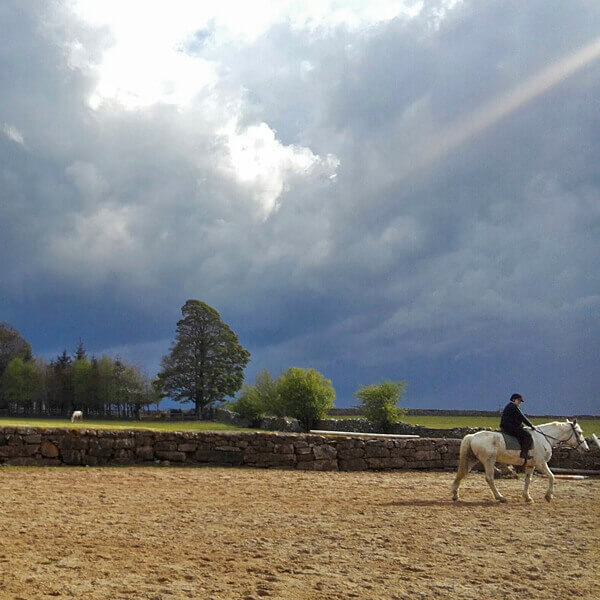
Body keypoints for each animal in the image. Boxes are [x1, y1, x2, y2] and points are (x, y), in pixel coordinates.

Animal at [452, 420, 588, 504]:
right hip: (489, 461)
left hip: (472, 460)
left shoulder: (531, 465)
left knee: (462, 474)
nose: (586, 449)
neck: (544, 438)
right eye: (579, 432)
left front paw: (527, 497)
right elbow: (552, 476)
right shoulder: (540, 464)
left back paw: (455, 494)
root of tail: (472, 436)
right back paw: (500, 497)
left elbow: (528, 480)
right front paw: (548, 496)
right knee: (489, 478)